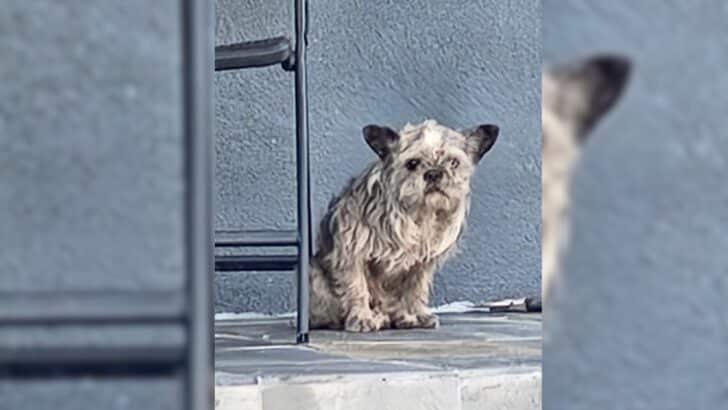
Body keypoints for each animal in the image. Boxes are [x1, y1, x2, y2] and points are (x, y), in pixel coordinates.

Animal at [308, 120, 500, 332]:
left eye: (453, 162)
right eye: (412, 163)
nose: (434, 173)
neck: (417, 214)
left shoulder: (420, 265)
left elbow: (414, 291)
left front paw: (414, 315)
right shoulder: (352, 254)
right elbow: (357, 287)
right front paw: (362, 317)